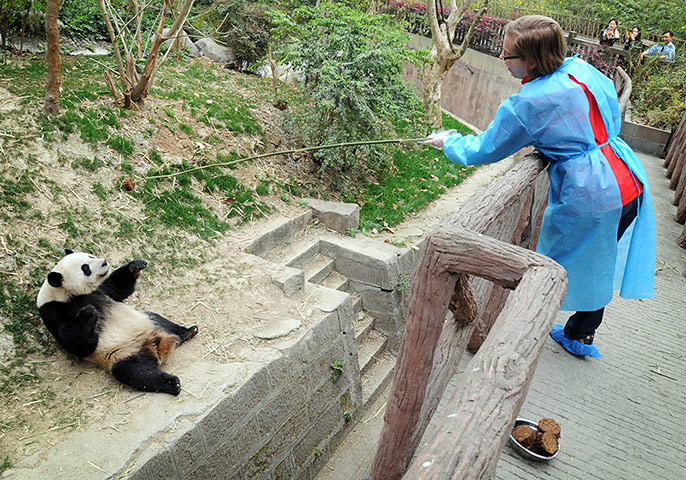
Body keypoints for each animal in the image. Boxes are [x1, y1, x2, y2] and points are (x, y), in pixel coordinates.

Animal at [37, 249, 198, 396]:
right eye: (85, 268)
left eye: (91, 256)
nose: (104, 262)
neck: (66, 294)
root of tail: (155, 345)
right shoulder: (55, 312)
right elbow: (78, 344)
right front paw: (89, 312)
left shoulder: (100, 290)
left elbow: (118, 288)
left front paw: (135, 265)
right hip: (120, 355)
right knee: (135, 373)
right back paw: (172, 383)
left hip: (147, 321)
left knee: (160, 320)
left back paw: (188, 332)